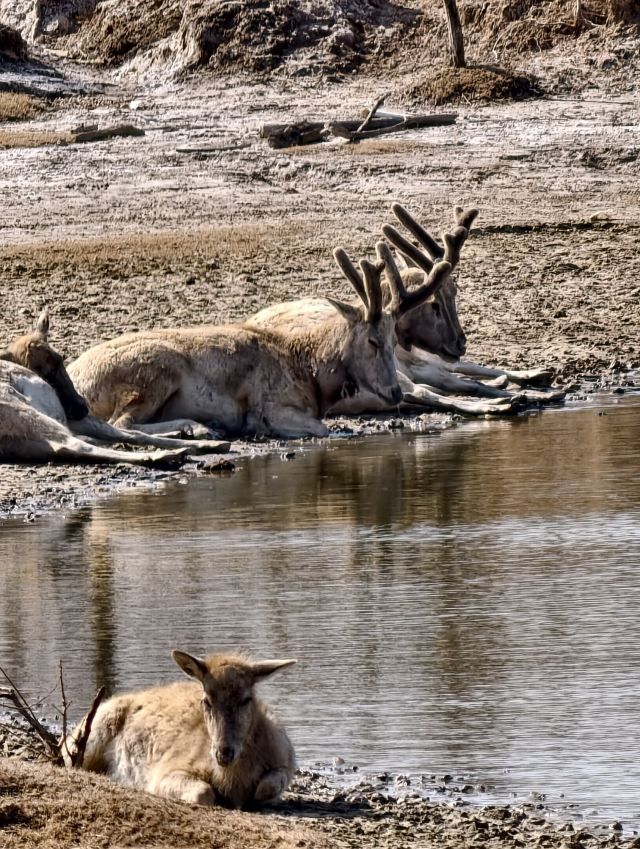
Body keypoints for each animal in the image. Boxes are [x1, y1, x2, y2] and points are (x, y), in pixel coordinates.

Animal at [0, 309, 230, 465]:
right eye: (45, 371)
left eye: (60, 359)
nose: (81, 407)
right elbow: (129, 433)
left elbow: (127, 434)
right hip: (34, 416)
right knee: (74, 444)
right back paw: (170, 454)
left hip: (29, 437)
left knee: (70, 447)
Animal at [63, 650, 297, 810]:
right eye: (206, 700)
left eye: (246, 699)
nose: (224, 752)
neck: (233, 779)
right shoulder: (164, 772)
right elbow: (204, 792)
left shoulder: (286, 763)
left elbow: (267, 787)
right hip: (89, 735)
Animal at [67, 242, 454, 439]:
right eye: (373, 341)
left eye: (393, 340)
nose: (395, 392)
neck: (310, 374)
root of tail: (79, 380)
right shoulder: (270, 405)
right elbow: (322, 429)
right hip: (155, 373)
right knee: (120, 423)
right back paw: (196, 428)